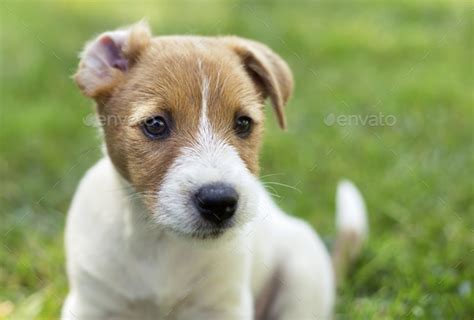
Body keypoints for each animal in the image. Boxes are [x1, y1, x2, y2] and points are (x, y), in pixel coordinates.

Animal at [61, 21, 368, 318]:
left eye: (243, 123)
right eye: (155, 124)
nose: (219, 202)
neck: (160, 240)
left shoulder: (223, 306)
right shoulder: (89, 305)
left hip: (303, 276)